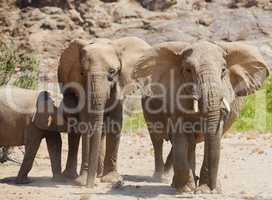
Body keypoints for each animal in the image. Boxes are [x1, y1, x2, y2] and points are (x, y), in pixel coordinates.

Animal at [57, 36, 152, 188]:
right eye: (83, 73)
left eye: (112, 72)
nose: (90, 186)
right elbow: (85, 123)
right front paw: (82, 181)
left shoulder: (119, 86)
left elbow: (115, 123)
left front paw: (111, 179)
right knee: (74, 127)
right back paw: (71, 176)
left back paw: (98, 174)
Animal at [136, 41, 270, 193]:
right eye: (188, 70)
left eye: (223, 70)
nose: (212, 189)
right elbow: (181, 136)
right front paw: (186, 189)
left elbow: (213, 137)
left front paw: (204, 189)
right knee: (158, 139)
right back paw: (162, 178)